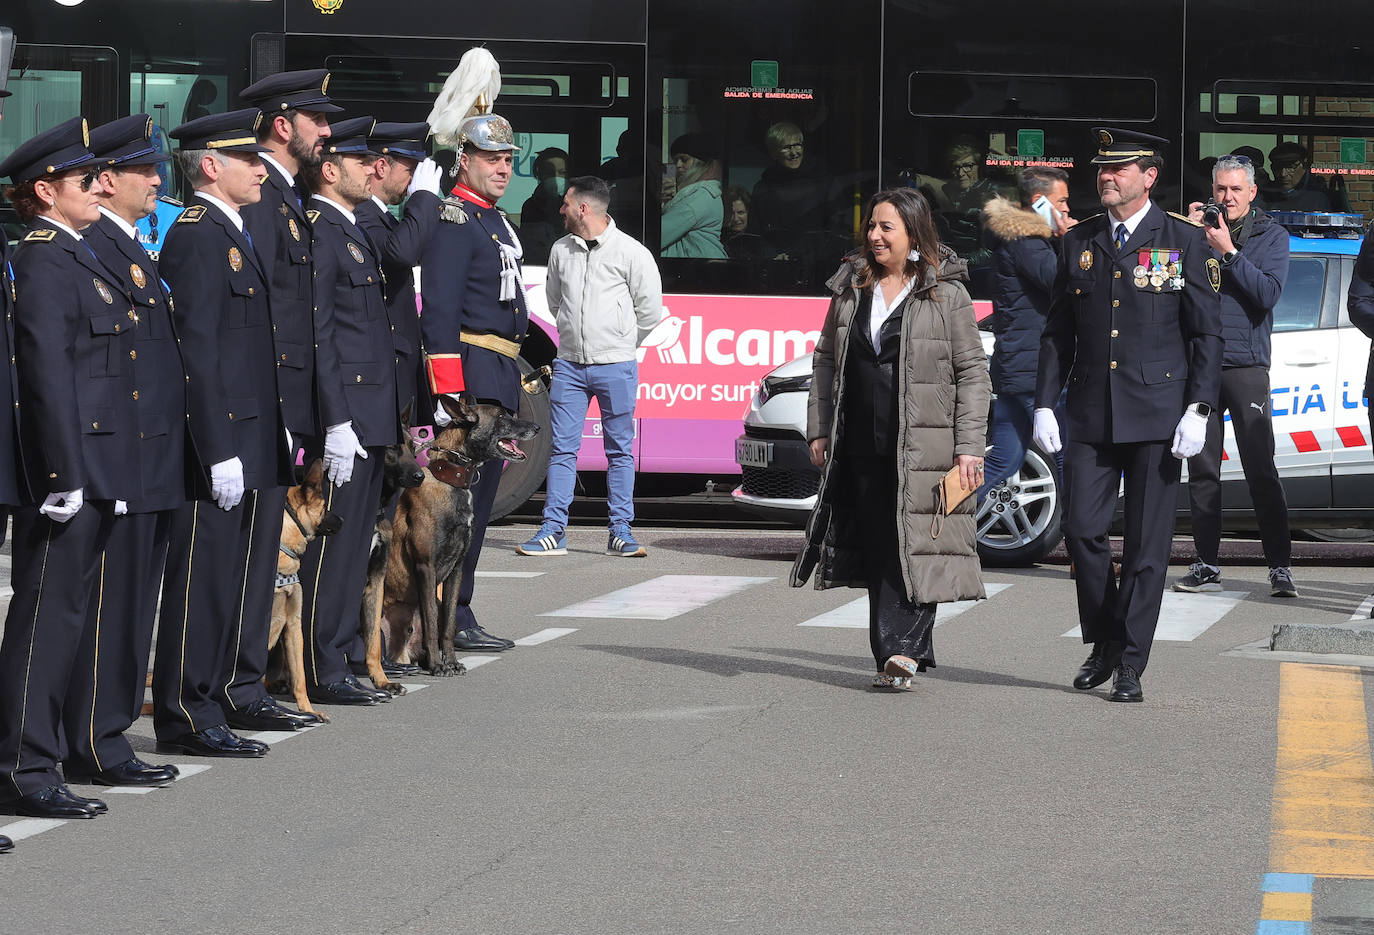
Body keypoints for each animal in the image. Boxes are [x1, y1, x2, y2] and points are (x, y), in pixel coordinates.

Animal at [387, 398, 541, 676]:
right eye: (501, 416)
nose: (537, 428)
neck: (449, 482)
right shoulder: (425, 568)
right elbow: (430, 622)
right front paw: (438, 665)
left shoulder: (456, 569)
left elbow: (447, 625)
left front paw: (451, 661)